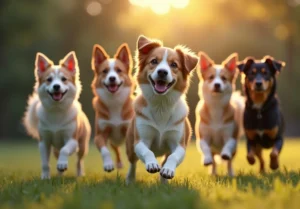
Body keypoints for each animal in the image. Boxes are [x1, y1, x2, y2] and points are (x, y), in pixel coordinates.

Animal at [23, 51, 91, 179]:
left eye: (64, 79)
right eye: (49, 79)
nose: (56, 86)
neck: (56, 110)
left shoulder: (72, 140)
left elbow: (65, 150)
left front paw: (62, 164)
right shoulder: (44, 142)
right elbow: (45, 163)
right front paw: (45, 177)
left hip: (82, 146)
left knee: (79, 161)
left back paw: (79, 174)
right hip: (55, 149)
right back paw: (60, 175)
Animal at [91, 43, 134, 172]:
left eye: (119, 70)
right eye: (104, 71)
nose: (112, 78)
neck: (114, 101)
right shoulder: (99, 135)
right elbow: (105, 150)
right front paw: (108, 165)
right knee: (116, 149)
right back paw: (119, 164)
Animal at [125, 35, 198, 183]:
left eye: (174, 65)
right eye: (154, 61)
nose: (162, 72)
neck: (161, 105)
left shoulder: (179, 143)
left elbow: (173, 157)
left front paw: (168, 171)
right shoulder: (140, 140)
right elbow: (147, 151)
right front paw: (152, 164)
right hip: (130, 146)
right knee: (132, 163)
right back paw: (130, 179)